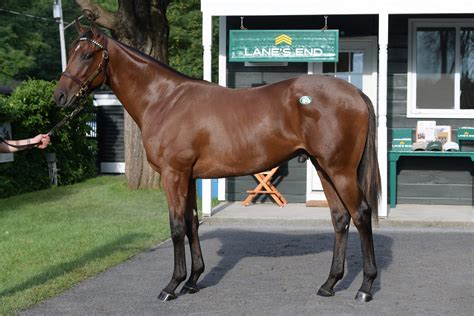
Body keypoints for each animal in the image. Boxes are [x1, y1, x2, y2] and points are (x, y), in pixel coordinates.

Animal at [54, 21, 382, 302]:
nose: (60, 97)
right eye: (71, 51)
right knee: (340, 218)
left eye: (86, 54)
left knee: (361, 214)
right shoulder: (188, 176)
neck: (164, 101)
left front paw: (172, 285)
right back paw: (329, 284)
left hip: (340, 170)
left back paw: (365, 287)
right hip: (324, 168)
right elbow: (192, 224)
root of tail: (356, 93)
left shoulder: (173, 174)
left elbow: (176, 226)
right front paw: (192, 281)